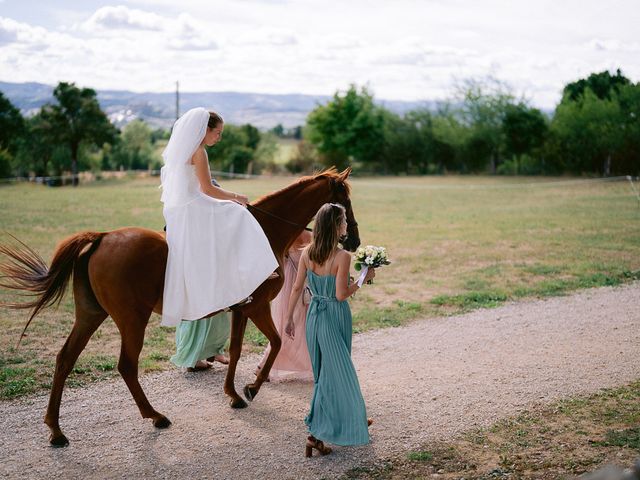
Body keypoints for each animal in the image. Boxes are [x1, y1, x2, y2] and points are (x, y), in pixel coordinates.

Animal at [0, 168, 360, 446]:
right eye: (344, 202)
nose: (354, 240)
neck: (264, 231)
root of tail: (102, 237)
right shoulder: (256, 308)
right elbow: (274, 343)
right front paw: (251, 388)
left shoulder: (242, 310)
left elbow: (238, 350)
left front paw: (233, 393)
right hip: (132, 319)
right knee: (126, 366)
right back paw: (155, 416)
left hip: (90, 315)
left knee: (65, 359)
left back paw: (56, 430)